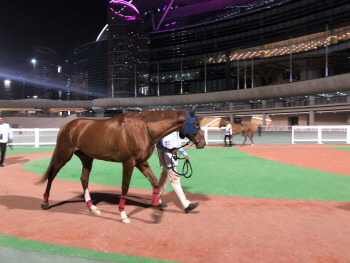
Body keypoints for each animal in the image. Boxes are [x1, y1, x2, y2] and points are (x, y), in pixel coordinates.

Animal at [38, 108, 205, 224]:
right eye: (196, 123)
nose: (203, 142)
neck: (143, 129)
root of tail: (65, 126)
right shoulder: (128, 162)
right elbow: (125, 187)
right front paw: (123, 215)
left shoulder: (141, 162)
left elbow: (155, 183)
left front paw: (156, 211)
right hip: (63, 155)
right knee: (52, 176)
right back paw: (45, 202)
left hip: (87, 158)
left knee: (84, 179)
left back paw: (92, 208)